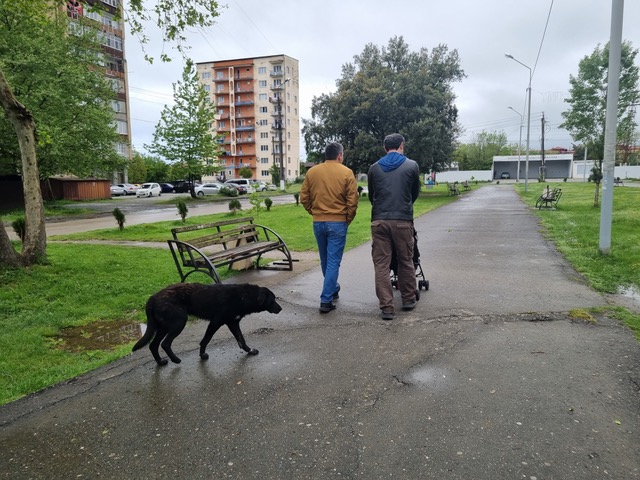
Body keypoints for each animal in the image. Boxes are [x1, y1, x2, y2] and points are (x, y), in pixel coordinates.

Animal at [132, 284, 280, 366]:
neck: (243, 296)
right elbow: (206, 339)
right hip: (178, 323)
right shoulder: (215, 322)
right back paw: (175, 360)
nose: (281, 309)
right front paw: (202, 355)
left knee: (153, 345)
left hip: (162, 327)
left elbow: (241, 340)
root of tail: (152, 298)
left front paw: (250, 351)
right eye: (272, 300)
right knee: (165, 343)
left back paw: (160, 362)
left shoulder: (232, 323)